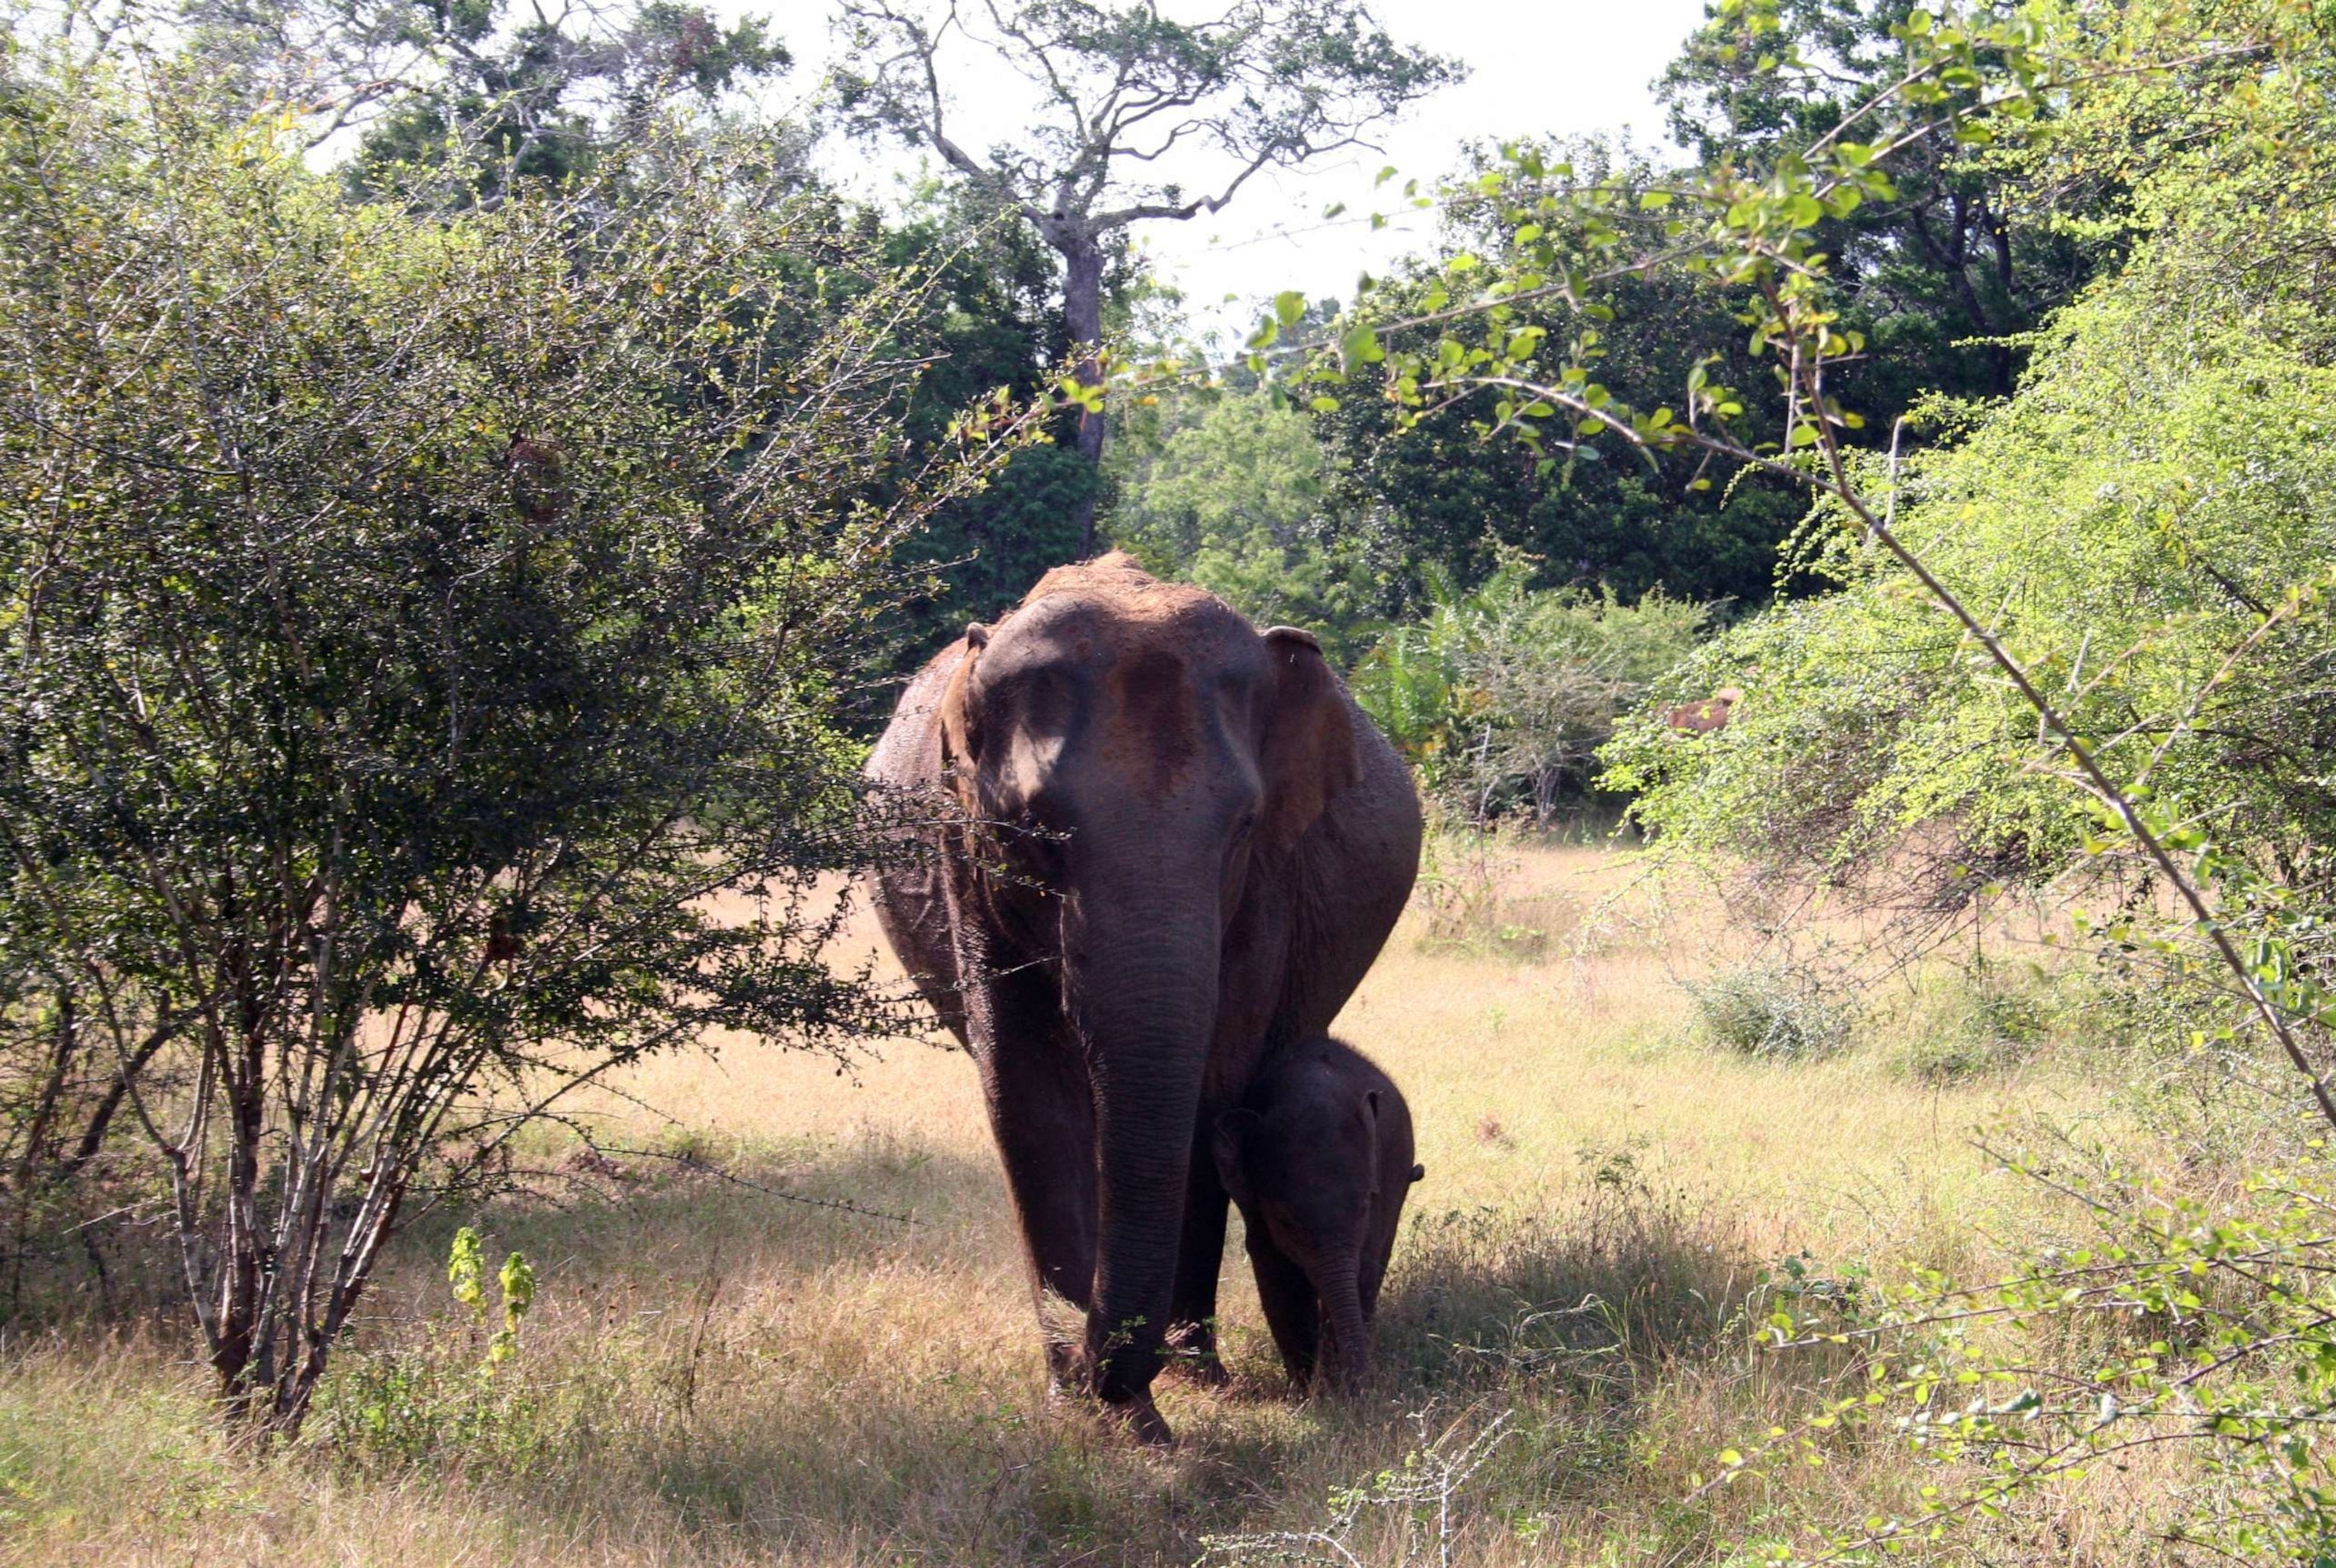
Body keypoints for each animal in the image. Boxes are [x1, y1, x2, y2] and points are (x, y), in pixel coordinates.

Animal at [1205, 1037, 1420, 1392]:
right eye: (1284, 1220)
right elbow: (1277, 1274)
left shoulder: (1380, 1187)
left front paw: (1337, 1390)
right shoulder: (1255, 1208)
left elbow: (1362, 1271)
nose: (1366, 1387)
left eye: (1364, 1208)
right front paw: (1309, 1392)